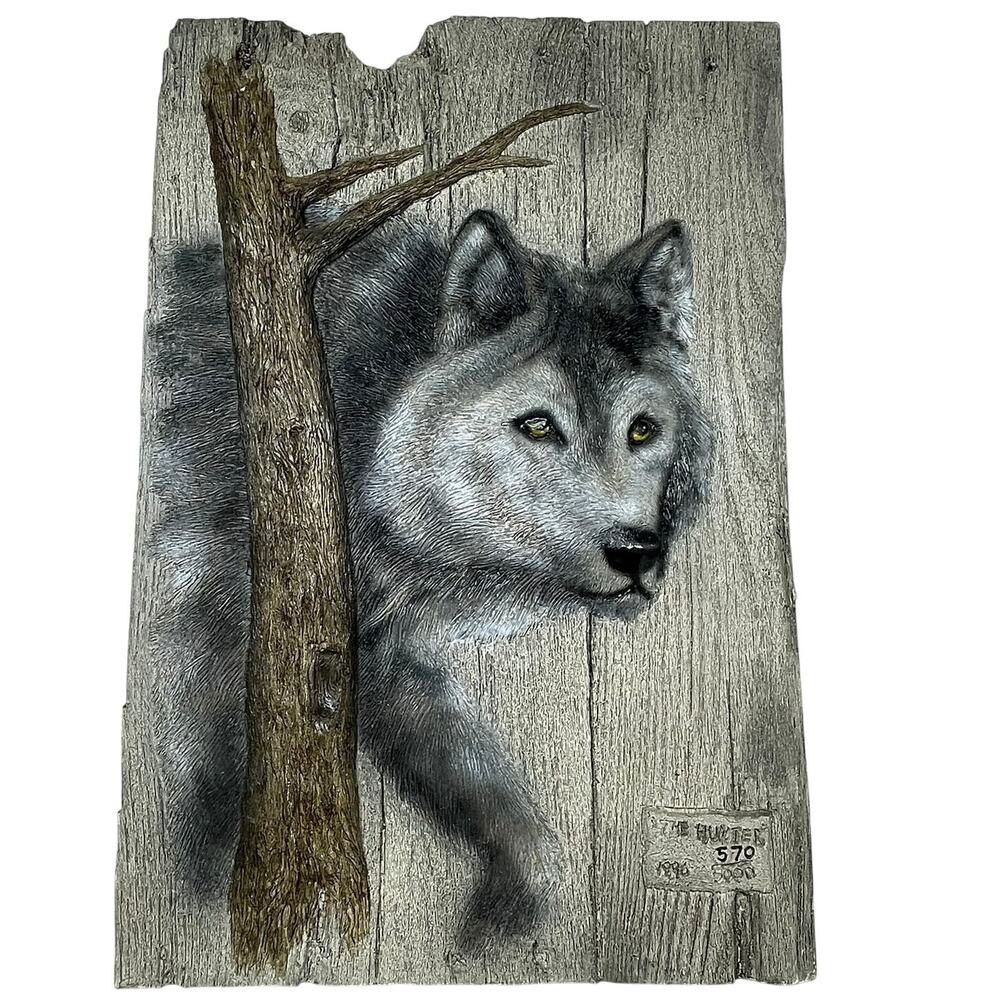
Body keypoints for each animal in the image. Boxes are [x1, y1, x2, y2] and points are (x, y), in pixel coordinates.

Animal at [148, 207, 711, 946]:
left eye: (642, 431)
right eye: (538, 425)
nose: (636, 552)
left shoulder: (378, 659)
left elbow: (508, 816)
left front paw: (499, 928)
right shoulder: (223, 644)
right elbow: (210, 816)